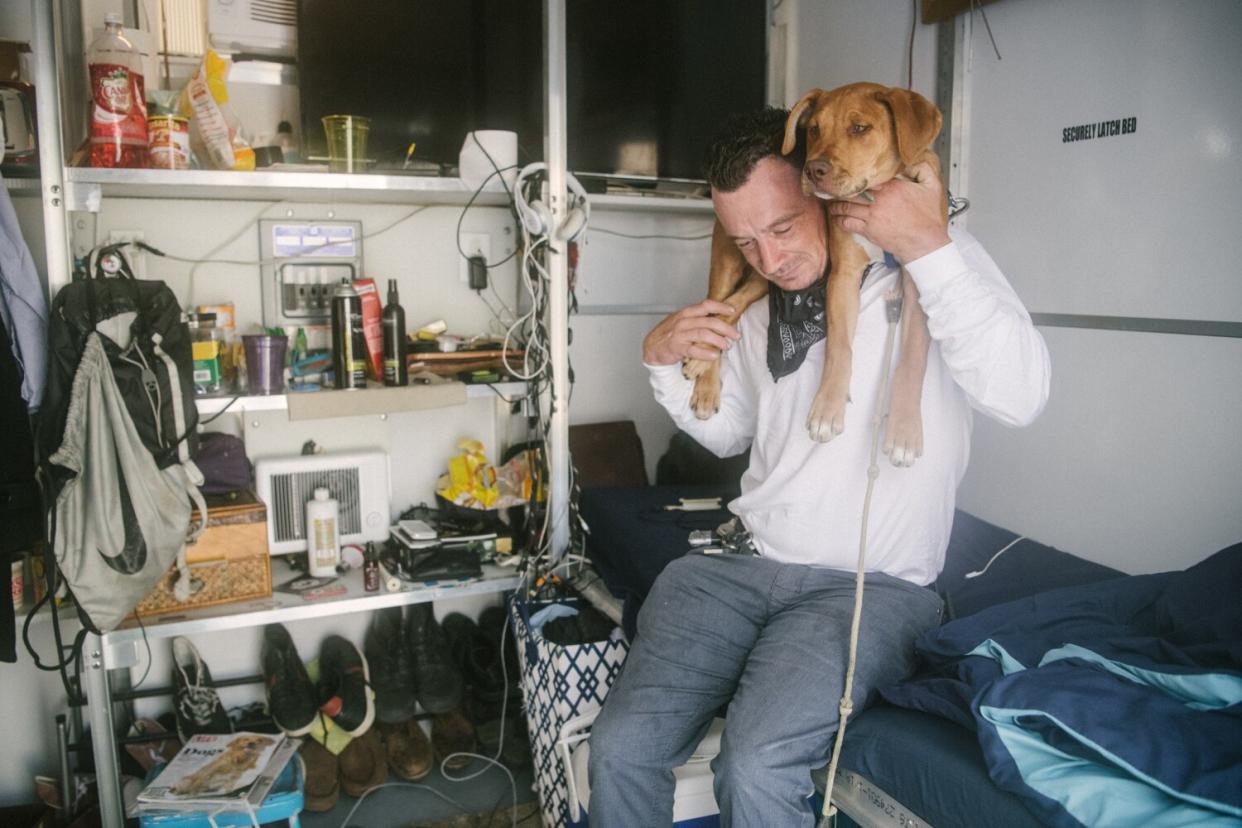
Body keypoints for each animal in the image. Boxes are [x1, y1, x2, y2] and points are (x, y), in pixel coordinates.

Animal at [690, 83, 938, 466]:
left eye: (860, 128)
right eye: (814, 129)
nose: (813, 169)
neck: (875, 195)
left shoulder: (918, 276)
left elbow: (913, 357)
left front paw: (905, 432)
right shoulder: (844, 274)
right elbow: (839, 347)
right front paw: (827, 409)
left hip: (766, 273)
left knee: (733, 306)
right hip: (729, 257)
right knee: (717, 307)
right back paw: (704, 378)